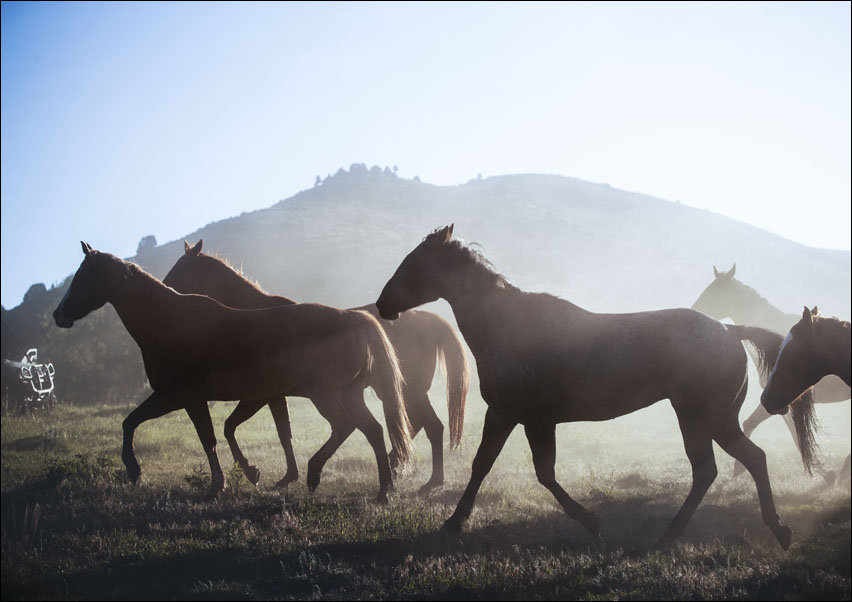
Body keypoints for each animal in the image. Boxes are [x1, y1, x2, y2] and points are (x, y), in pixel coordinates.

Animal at [53, 243, 412, 502]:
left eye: (81, 278)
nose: (58, 314)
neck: (168, 323)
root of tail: (356, 319)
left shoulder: (187, 398)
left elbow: (210, 437)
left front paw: (219, 484)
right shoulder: (173, 398)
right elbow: (131, 422)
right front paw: (134, 470)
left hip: (324, 394)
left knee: (346, 426)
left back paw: (316, 473)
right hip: (348, 394)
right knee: (372, 430)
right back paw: (383, 491)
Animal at [162, 239, 469, 494]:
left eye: (181, 268)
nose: (165, 288)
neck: (253, 315)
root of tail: (431, 320)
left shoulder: (267, 395)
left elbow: (274, 431)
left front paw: (280, 475)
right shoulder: (276, 396)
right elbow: (283, 432)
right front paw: (287, 476)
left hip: (406, 391)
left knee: (426, 426)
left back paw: (422, 478)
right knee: (420, 426)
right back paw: (407, 473)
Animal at [376, 225, 813, 549]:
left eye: (416, 262)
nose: (383, 304)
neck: (509, 326)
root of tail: (729, 332)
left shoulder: (535, 420)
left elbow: (544, 474)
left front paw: (591, 521)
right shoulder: (503, 414)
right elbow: (482, 465)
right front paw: (453, 522)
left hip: (702, 418)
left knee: (716, 467)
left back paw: (674, 536)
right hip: (713, 421)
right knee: (744, 461)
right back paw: (772, 530)